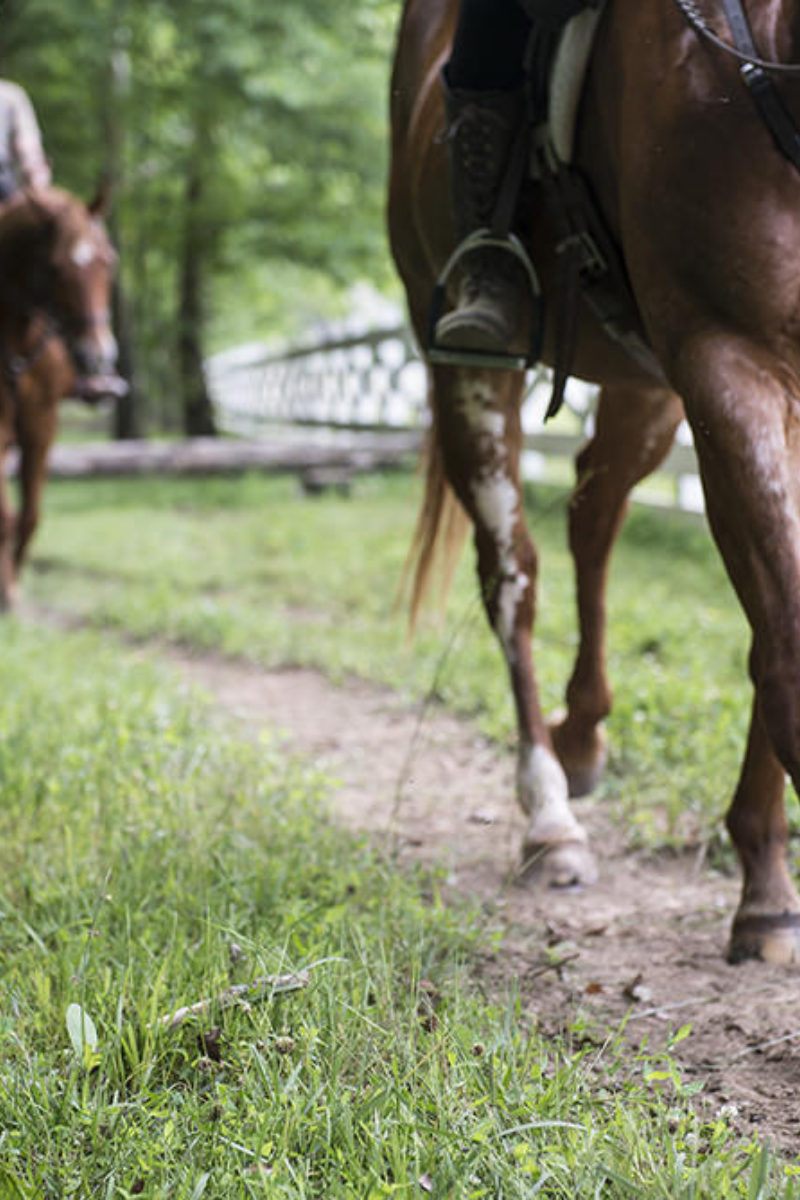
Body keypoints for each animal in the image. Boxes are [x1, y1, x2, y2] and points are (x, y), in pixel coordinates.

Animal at [0, 185, 121, 610]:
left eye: (109, 262)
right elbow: (5, 515)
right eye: (53, 268)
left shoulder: (41, 425)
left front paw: (13, 584)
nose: (97, 355)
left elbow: (30, 514)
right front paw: (7, 588)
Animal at [389, 0, 800, 965]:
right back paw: (550, 818)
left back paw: (581, 733)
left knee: (595, 514)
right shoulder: (730, 366)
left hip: (646, 389)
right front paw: (766, 894)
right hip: (466, 363)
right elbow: (787, 645)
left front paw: (764, 878)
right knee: (512, 576)